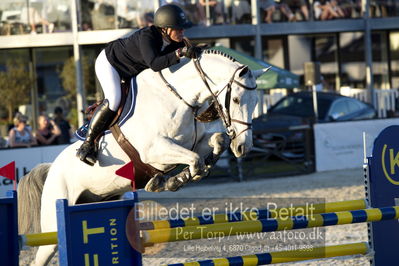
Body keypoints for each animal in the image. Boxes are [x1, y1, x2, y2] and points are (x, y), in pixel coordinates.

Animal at [18, 48, 268, 264]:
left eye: (256, 102)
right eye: (235, 100)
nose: (243, 148)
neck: (177, 98)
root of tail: (52, 168)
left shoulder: (192, 143)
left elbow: (217, 141)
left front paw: (177, 177)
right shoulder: (155, 151)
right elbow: (194, 160)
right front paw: (173, 180)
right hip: (54, 220)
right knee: (42, 255)